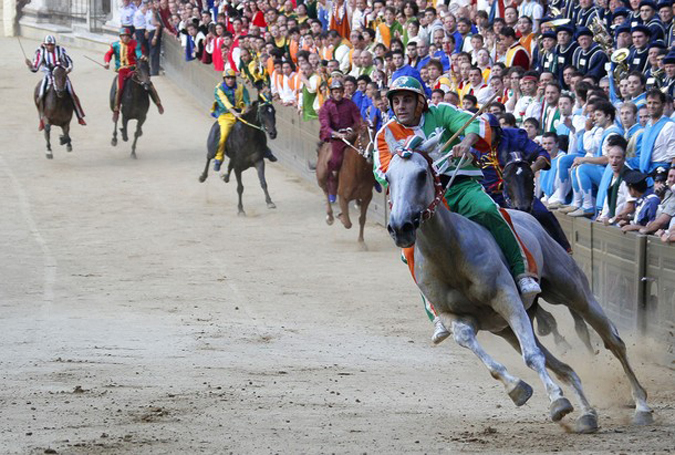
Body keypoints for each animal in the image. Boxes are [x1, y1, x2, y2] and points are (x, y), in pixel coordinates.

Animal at [386, 151, 656, 432]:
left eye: (421, 174)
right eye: (388, 178)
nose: (400, 226)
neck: (450, 253)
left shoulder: (507, 300)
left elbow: (533, 356)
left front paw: (557, 401)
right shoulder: (455, 317)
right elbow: (468, 339)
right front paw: (517, 389)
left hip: (573, 291)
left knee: (613, 342)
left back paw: (641, 406)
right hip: (508, 329)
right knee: (565, 367)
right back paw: (587, 415)